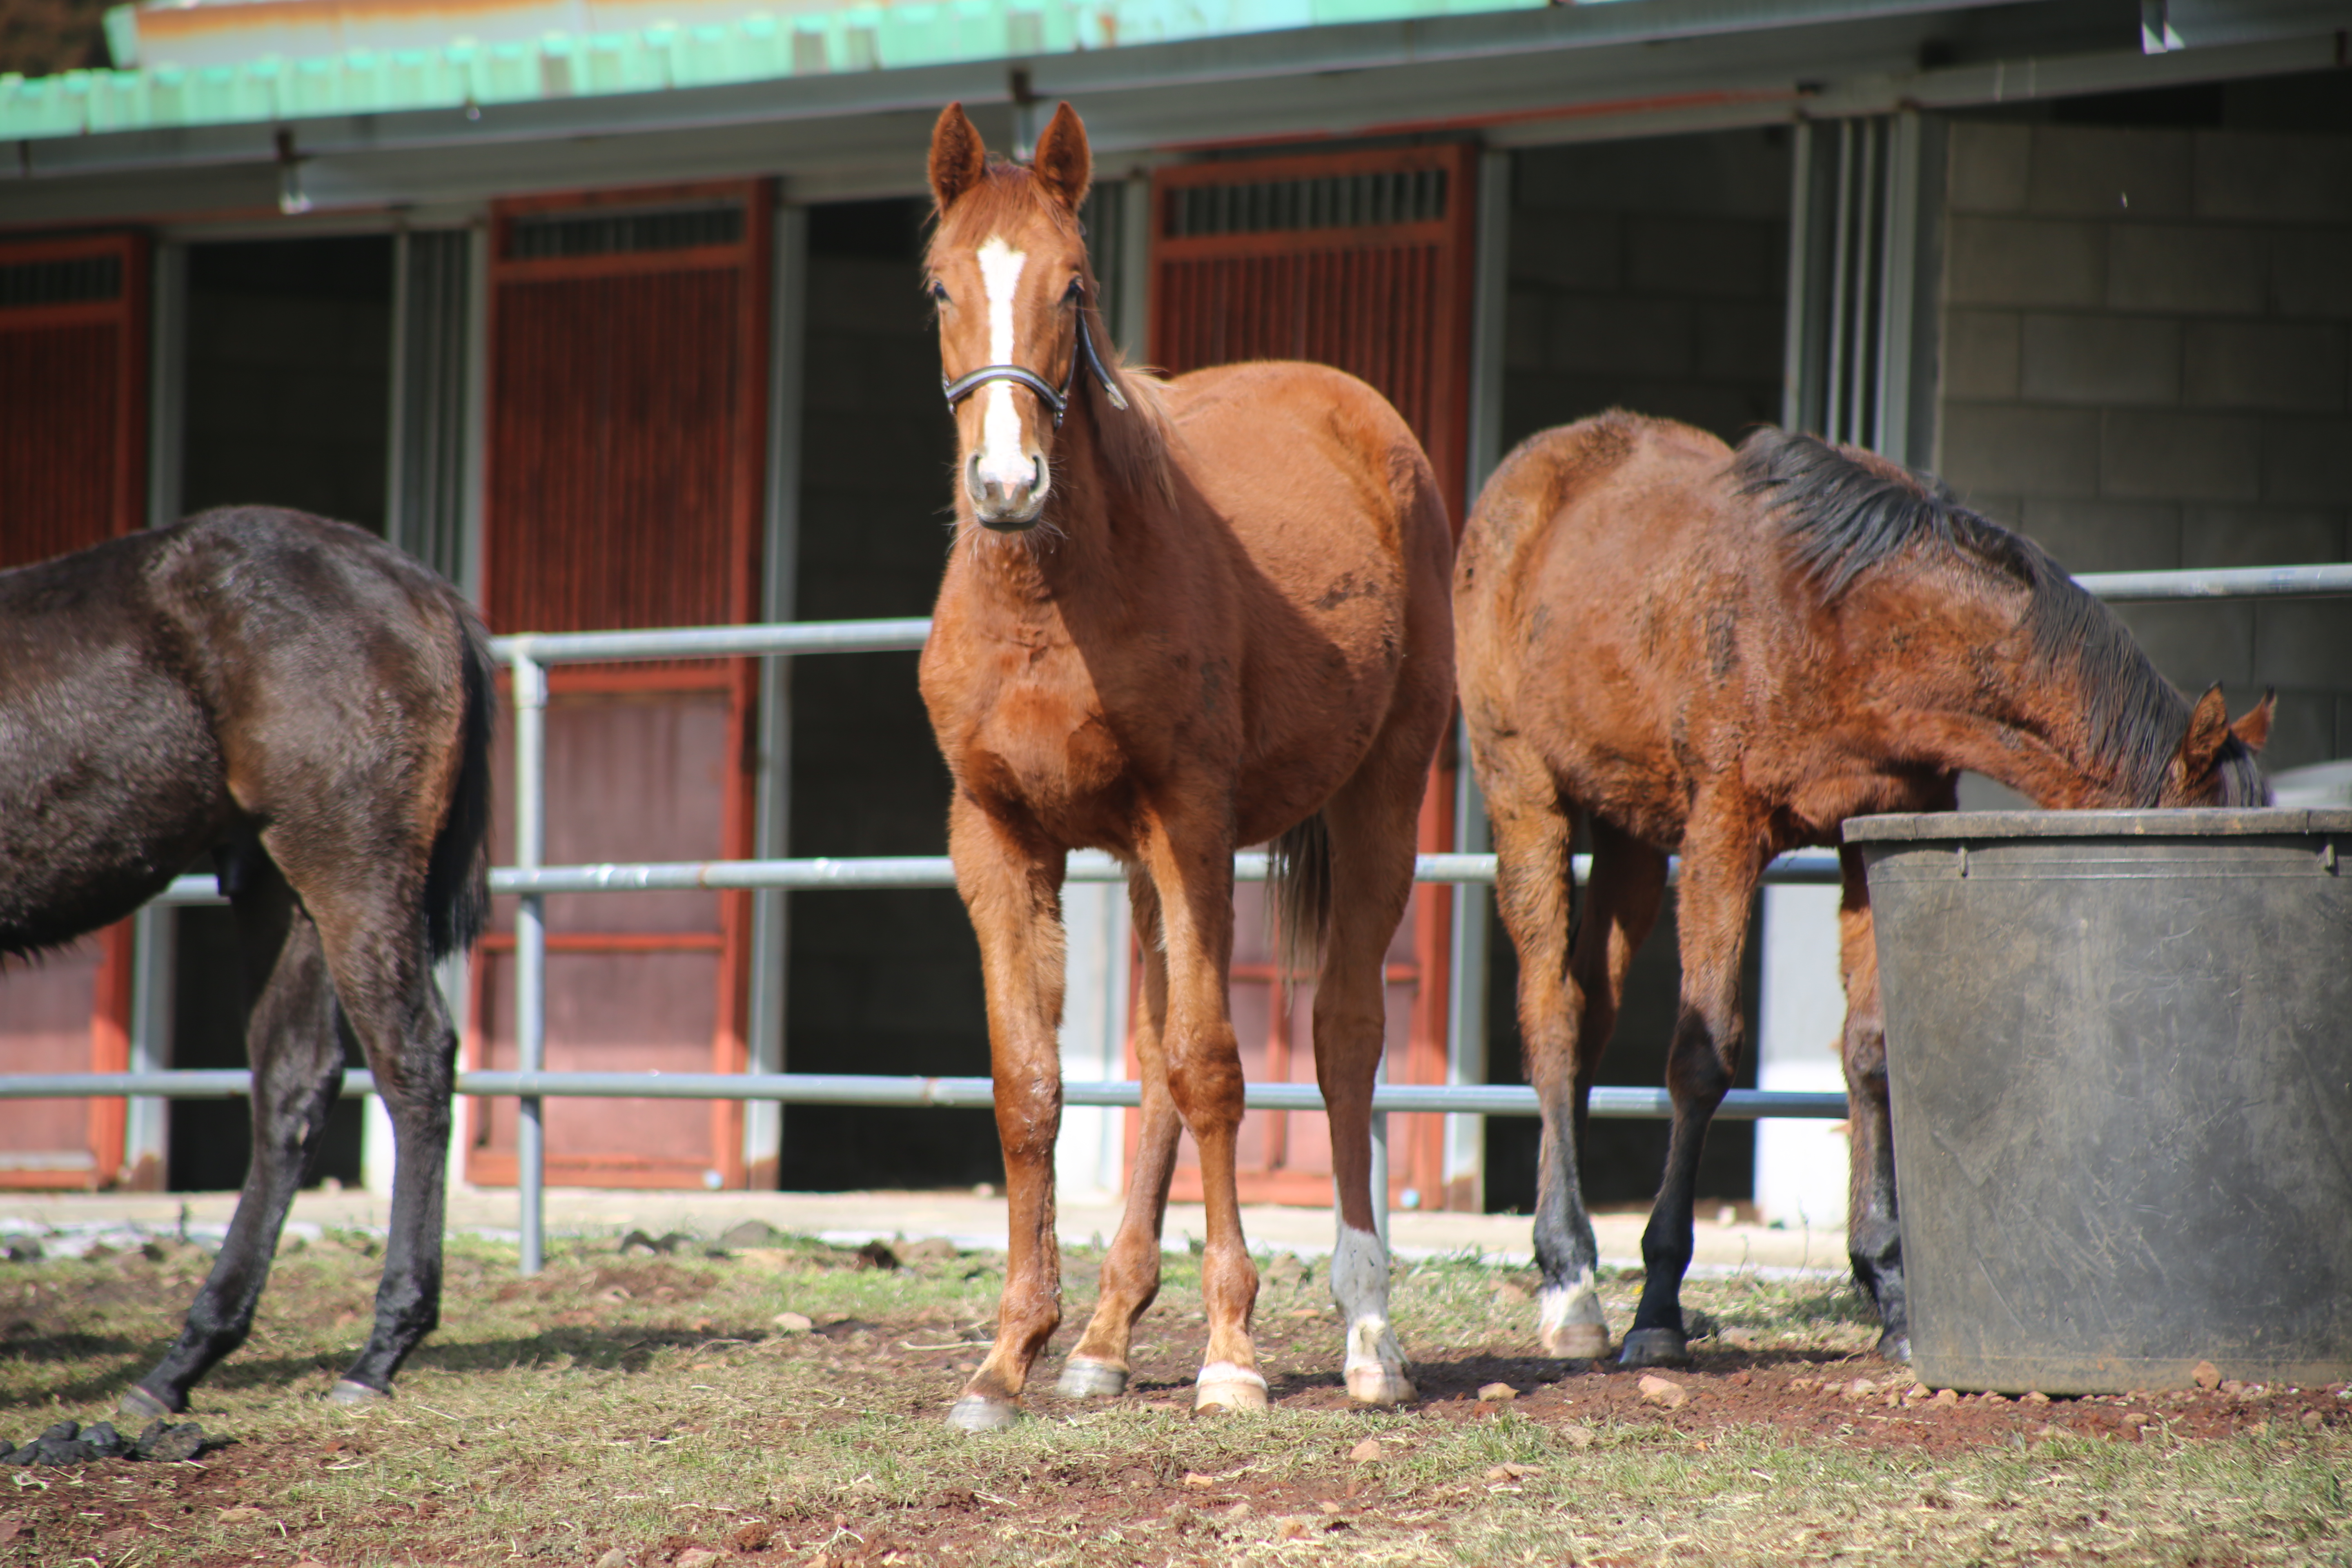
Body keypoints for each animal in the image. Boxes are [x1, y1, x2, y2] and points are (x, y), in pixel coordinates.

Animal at [0, 510, 487, 1420]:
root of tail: (425, 588)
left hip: (350, 869)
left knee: (412, 1060)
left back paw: (379, 1350)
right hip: (279, 889)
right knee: (294, 1085)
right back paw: (182, 1363)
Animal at [912, 104, 1449, 1429]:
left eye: (1075, 286)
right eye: (940, 285)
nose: (1007, 485)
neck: (1050, 607)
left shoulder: (1192, 820)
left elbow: (1214, 1066)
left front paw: (1232, 1352)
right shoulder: (998, 836)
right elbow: (1034, 1083)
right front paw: (1009, 1353)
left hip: (1375, 798)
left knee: (1342, 1034)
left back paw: (1368, 1332)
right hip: (1147, 864)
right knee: (1153, 1053)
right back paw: (1105, 1337)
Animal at [1458, 411, 2267, 1363]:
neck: (1850, 622)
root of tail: (1531, 472)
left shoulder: (1876, 827)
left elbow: (1872, 1051)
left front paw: (1892, 1290)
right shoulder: (1723, 830)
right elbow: (1703, 1057)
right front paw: (1657, 1309)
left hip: (1629, 833)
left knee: (1590, 1016)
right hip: (1524, 788)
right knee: (1551, 1016)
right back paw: (1572, 1281)